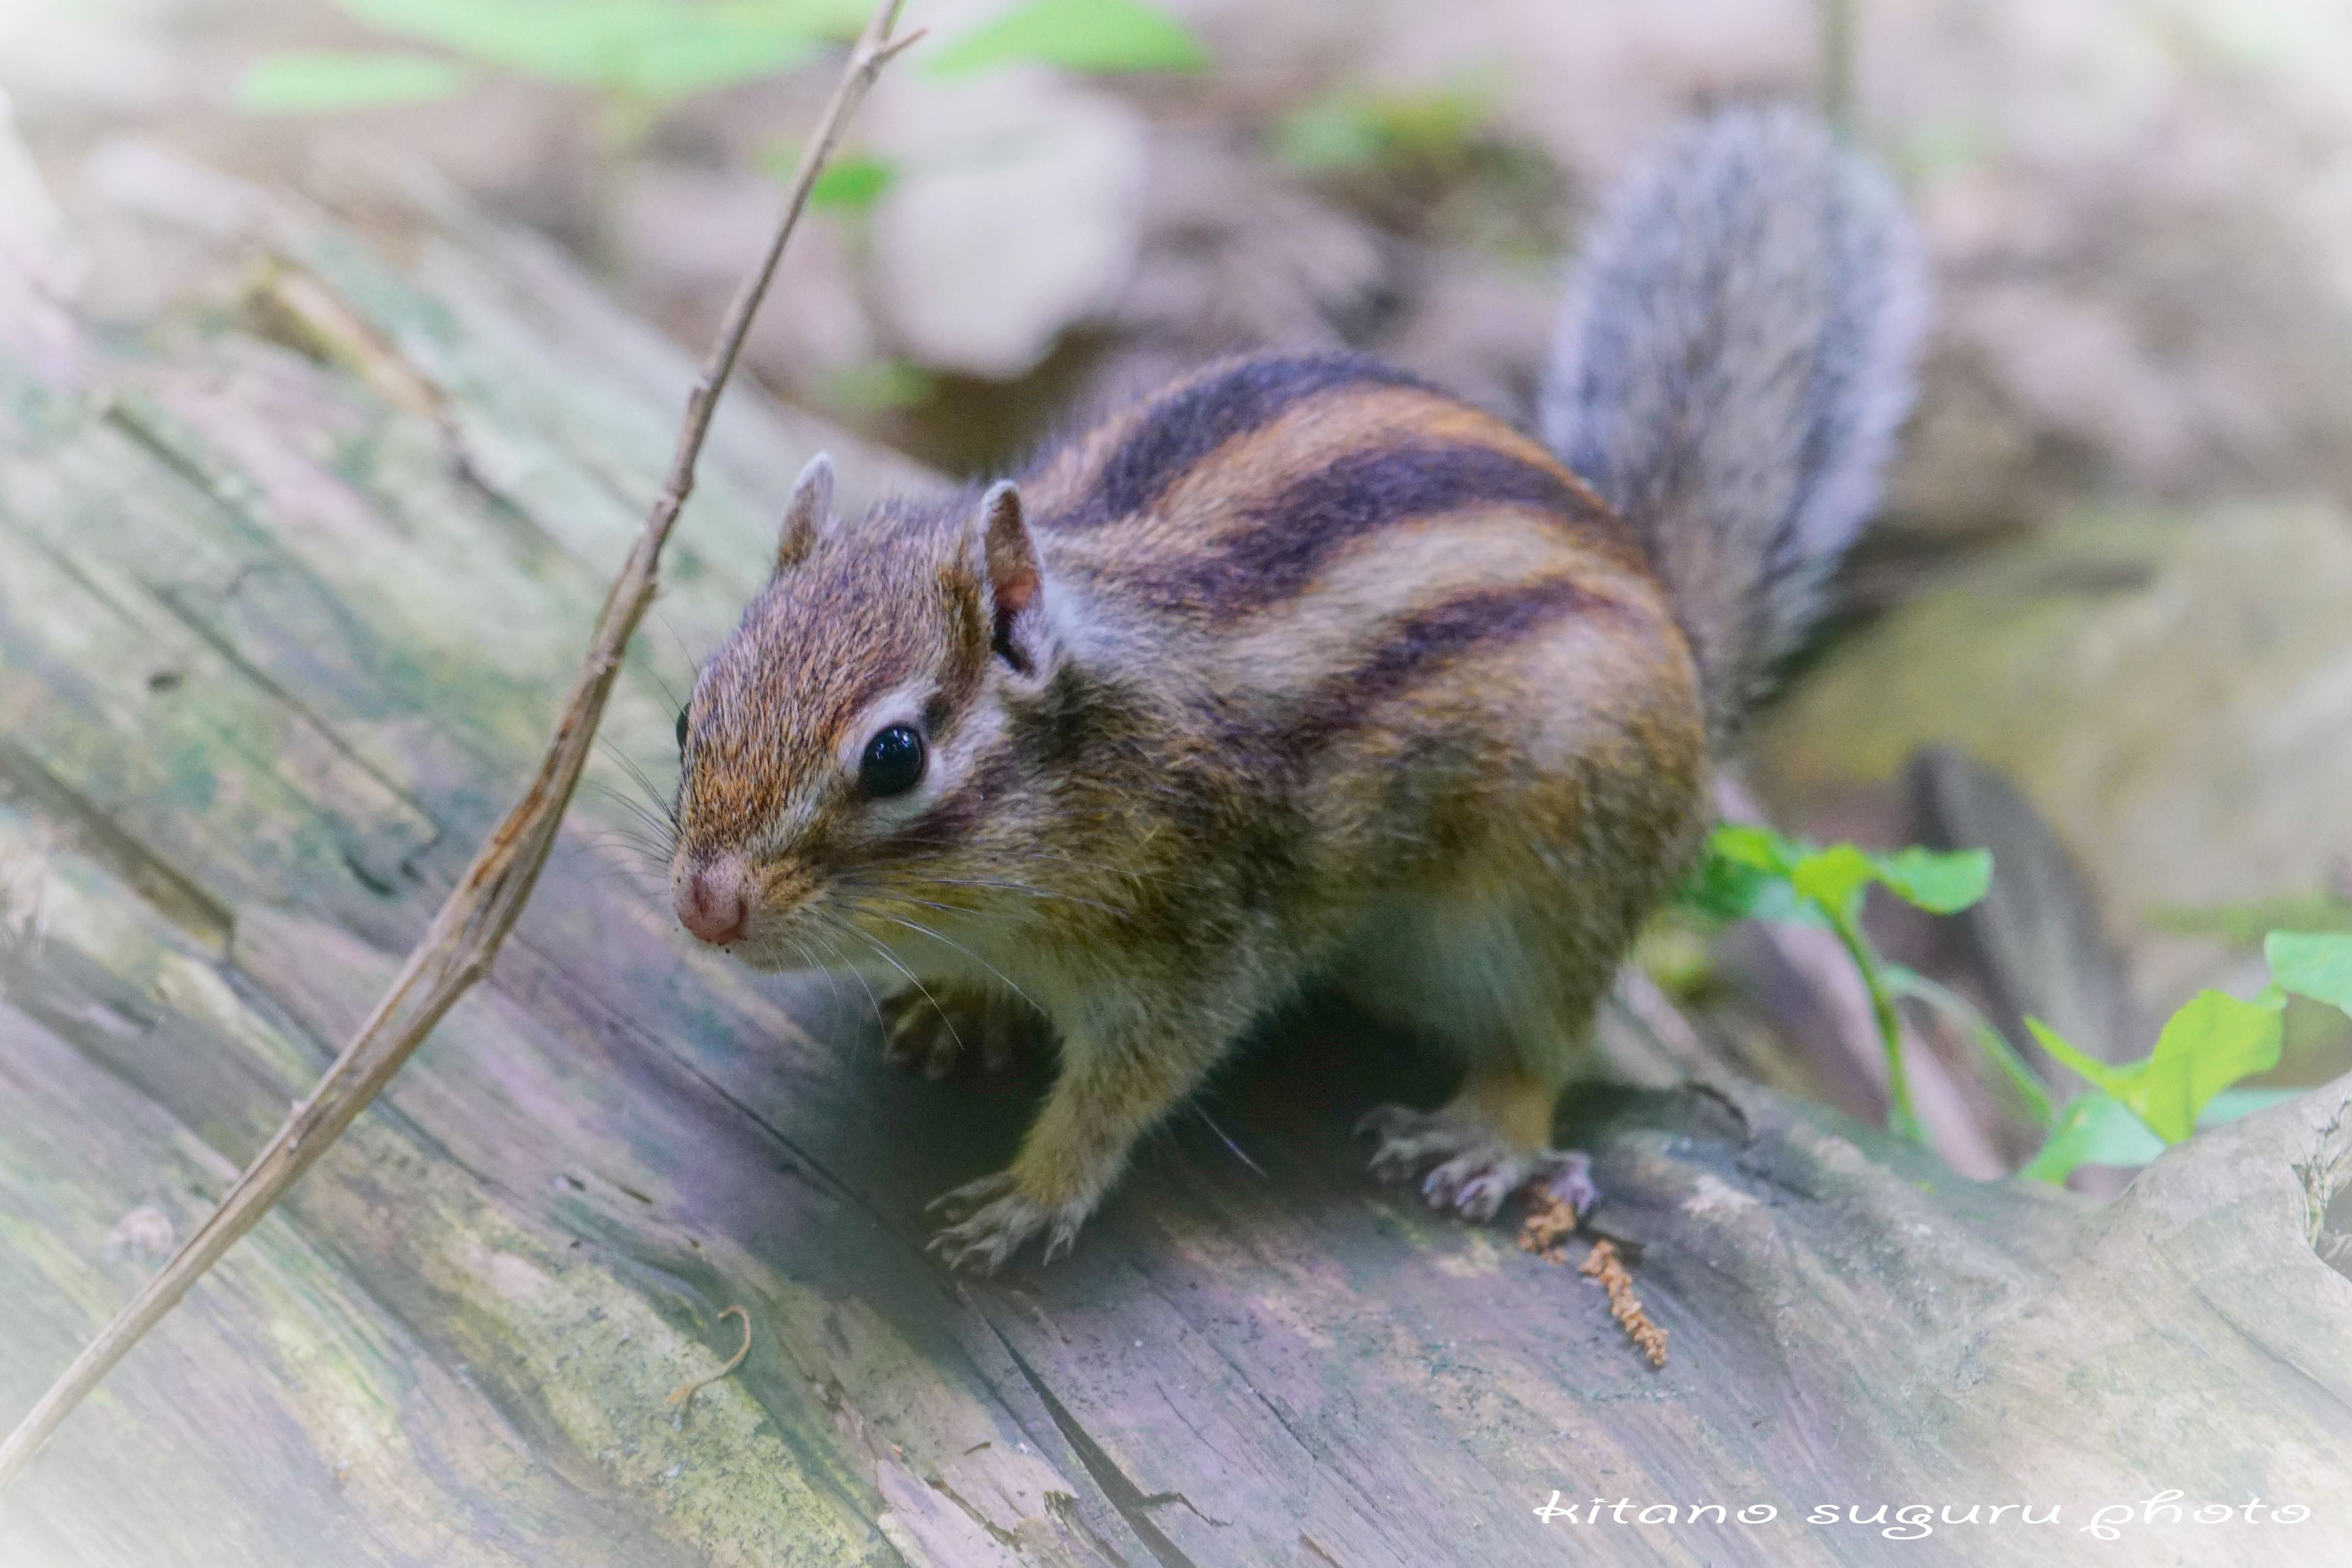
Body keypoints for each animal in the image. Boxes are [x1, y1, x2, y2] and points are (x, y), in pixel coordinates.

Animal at [667, 107, 1924, 1273]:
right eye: (690, 713)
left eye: (894, 757)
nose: (703, 907)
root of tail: (1680, 642)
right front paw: (959, 1006)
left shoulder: (1199, 947)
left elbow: (1124, 1091)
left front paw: (1031, 1194)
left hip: (1557, 879)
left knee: (1543, 1041)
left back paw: (1486, 1134)